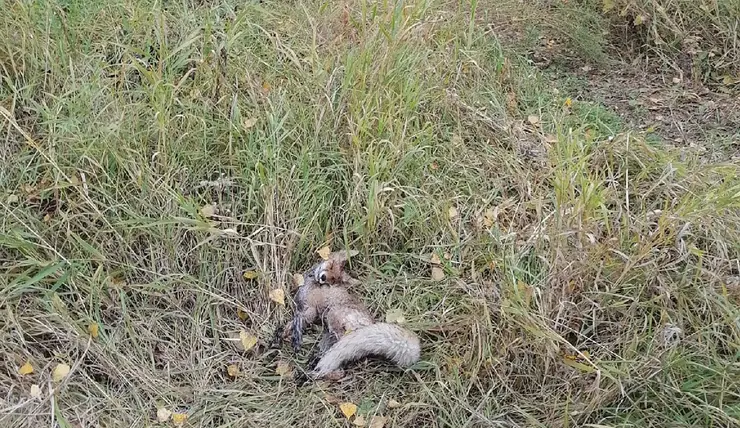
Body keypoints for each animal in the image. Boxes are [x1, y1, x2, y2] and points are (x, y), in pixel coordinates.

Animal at [284, 249, 420, 380]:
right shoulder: (304, 310)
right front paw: (283, 335)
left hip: (334, 320)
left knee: (338, 369)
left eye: (333, 279)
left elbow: (297, 324)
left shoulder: (309, 311)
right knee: (336, 366)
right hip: (328, 339)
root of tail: (370, 324)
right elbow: (289, 325)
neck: (310, 281)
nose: (323, 278)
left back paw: (310, 375)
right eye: (331, 266)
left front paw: (293, 338)